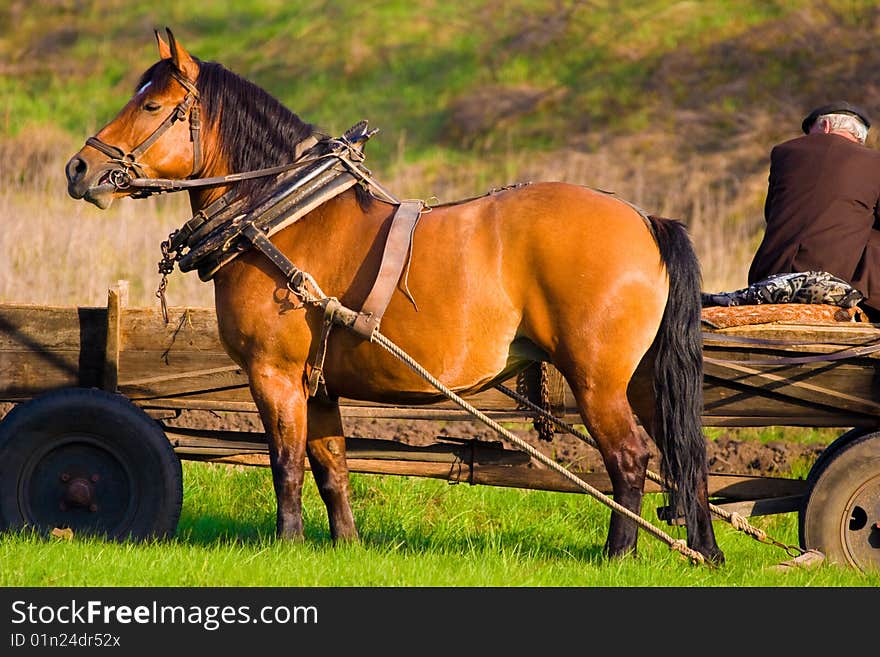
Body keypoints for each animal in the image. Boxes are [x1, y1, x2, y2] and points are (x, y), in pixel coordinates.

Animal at [65, 29, 724, 564]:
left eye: (151, 105)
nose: (78, 170)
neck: (283, 217)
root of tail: (645, 220)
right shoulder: (318, 383)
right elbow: (331, 465)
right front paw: (345, 546)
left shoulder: (273, 373)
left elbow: (286, 462)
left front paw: (286, 543)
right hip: (644, 378)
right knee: (685, 456)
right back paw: (705, 551)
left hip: (598, 380)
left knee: (631, 458)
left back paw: (619, 553)